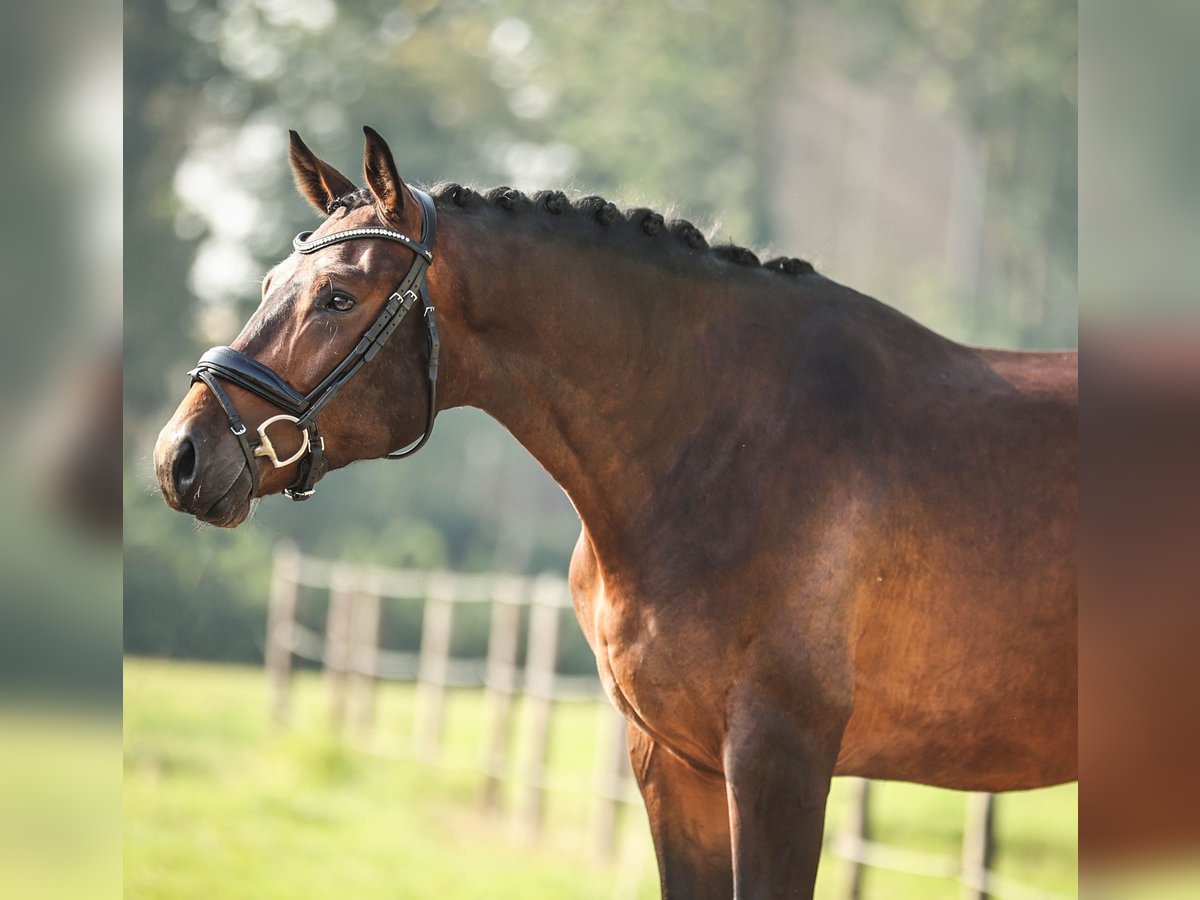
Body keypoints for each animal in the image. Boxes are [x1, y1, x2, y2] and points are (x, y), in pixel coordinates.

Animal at [152, 128, 1080, 900]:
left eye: (339, 297)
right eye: (269, 284)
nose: (179, 457)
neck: (726, 438)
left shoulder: (780, 761)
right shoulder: (673, 762)